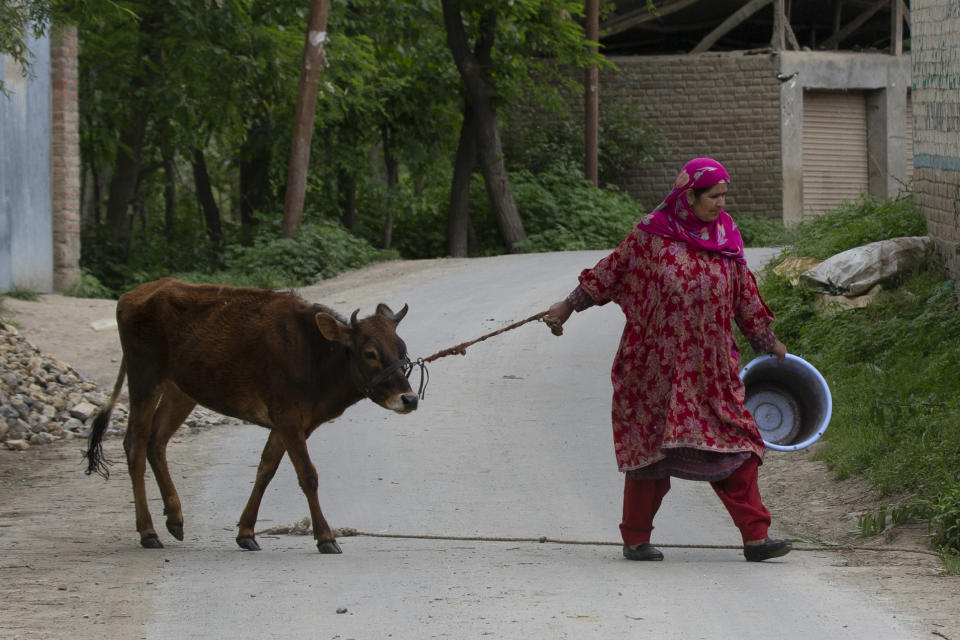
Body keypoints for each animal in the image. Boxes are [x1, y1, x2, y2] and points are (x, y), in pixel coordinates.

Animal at [88, 278, 418, 552]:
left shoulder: (290, 423)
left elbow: (266, 470)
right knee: (135, 445)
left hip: (180, 390)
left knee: (156, 442)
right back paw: (148, 531)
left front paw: (246, 533)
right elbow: (308, 475)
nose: (409, 399)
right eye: (370, 353)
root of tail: (132, 295)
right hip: (144, 380)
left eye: (402, 349)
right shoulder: (288, 418)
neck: (314, 356)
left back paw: (175, 518)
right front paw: (326, 537)